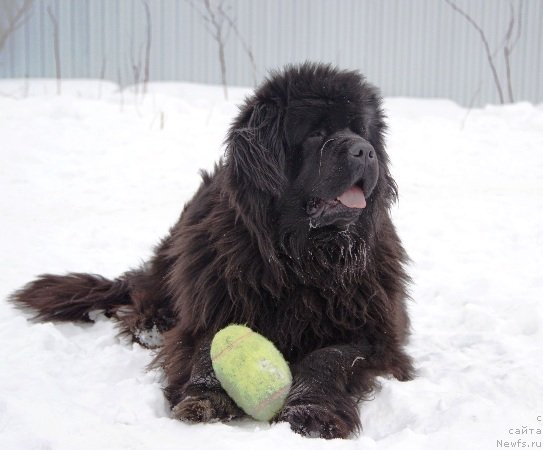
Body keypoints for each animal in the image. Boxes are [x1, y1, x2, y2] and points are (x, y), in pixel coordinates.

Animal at [10, 63, 414, 440]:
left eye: (360, 131)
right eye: (316, 133)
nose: (365, 150)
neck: (298, 260)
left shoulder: (371, 332)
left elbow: (329, 358)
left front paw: (313, 412)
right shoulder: (216, 303)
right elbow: (209, 346)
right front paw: (204, 397)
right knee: (146, 295)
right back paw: (151, 325)